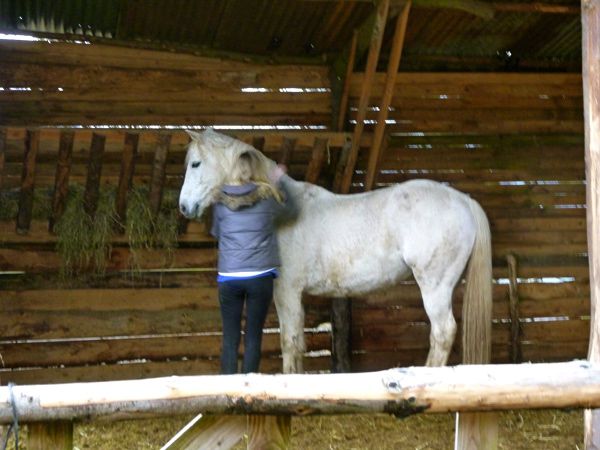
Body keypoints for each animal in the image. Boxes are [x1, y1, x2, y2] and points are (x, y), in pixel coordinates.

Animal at [179, 128, 492, 374]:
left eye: (195, 164)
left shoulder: (286, 290)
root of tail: (464, 200)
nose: (184, 207)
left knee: (443, 332)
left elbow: (289, 341)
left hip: (434, 286)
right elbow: (298, 342)